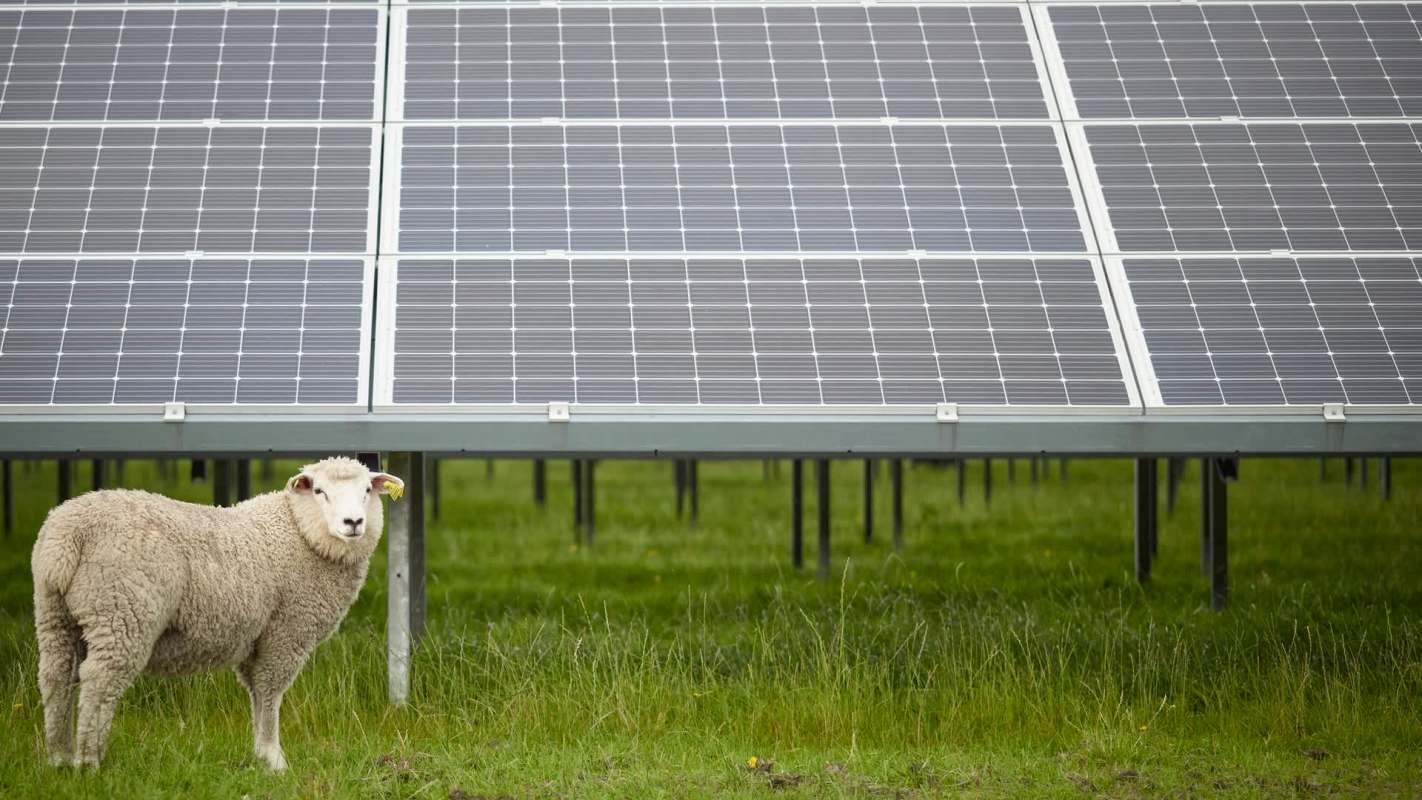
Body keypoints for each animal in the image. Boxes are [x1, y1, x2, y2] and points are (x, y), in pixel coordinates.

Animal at [31, 456, 404, 770]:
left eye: (367, 491)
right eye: (319, 491)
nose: (353, 522)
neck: (299, 533)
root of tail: (67, 536)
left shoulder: (257, 639)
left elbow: (256, 692)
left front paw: (260, 754)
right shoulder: (285, 633)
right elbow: (270, 693)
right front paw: (275, 759)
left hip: (57, 614)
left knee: (56, 677)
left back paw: (59, 758)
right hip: (122, 612)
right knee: (98, 681)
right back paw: (89, 762)